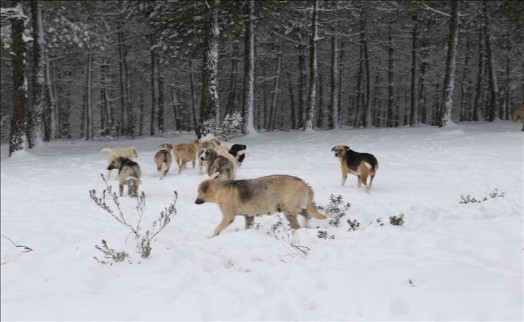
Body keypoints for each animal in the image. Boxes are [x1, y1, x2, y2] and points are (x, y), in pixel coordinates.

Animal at [194, 175, 326, 238]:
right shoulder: (248, 216)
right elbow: (247, 227)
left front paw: (212, 237)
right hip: (293, 209)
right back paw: (307, 227)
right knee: (306, 215)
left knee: (297, 225)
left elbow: (216, 229)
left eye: (198, 192)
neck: (221, 190)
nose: (195, 202)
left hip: (288, 211)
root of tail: (304, 183)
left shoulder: (228, 218)